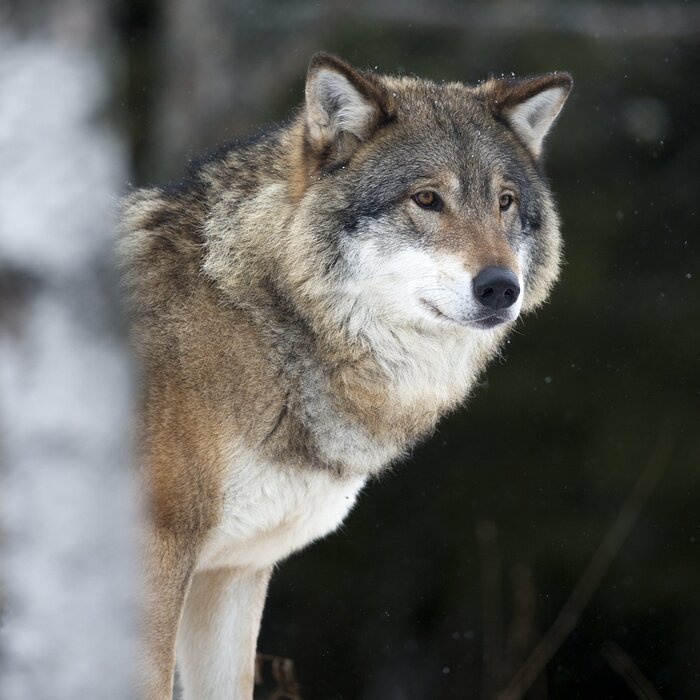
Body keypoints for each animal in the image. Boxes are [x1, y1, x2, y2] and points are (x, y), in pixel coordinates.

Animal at [120, 53, 571, 699]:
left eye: (505, 201)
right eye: (426, 199)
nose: (500, 288)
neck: (260, 315)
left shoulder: (233, 571)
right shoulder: (156, 557)